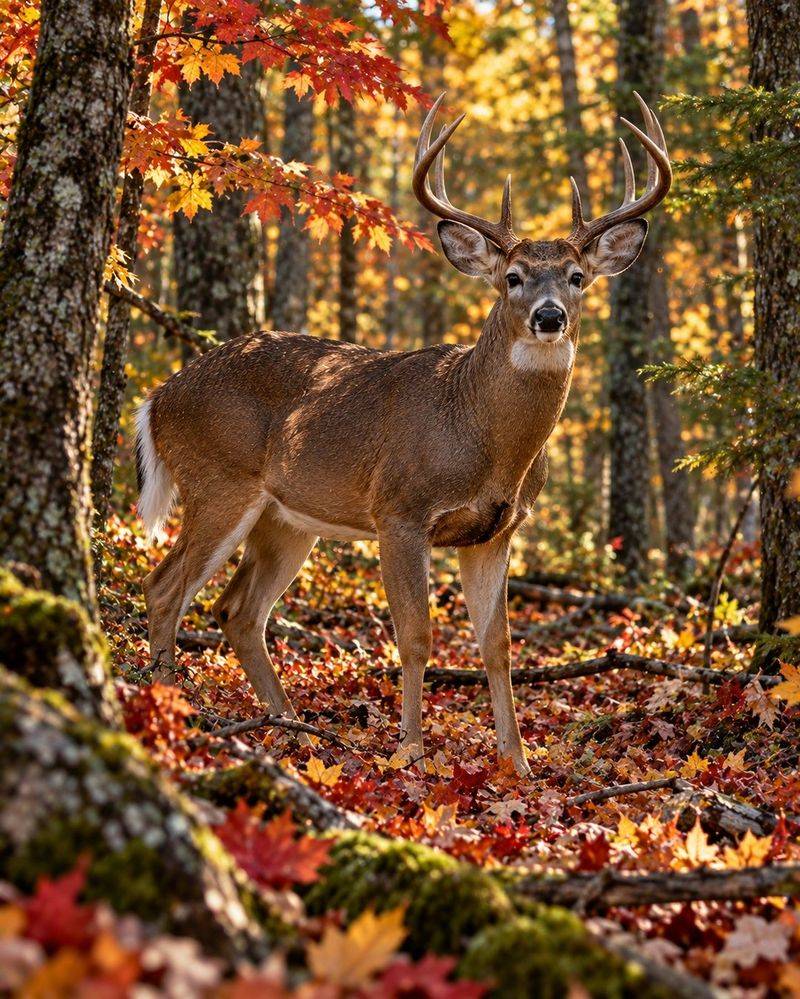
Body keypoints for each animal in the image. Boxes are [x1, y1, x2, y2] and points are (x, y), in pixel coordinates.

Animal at [136, 92, 670, 776]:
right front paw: (411, 751)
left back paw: (289, 726)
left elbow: (497, 644)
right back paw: (170, 711)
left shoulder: (496, 531)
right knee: (165, 590)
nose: (549, 317)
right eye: (513, 277)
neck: (480, 434)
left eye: (577, 277)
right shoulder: (399, 511)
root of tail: (160, 397)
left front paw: (517, 762)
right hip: (217, 481)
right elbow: (416, 637)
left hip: (286, 521)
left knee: (238, 612)